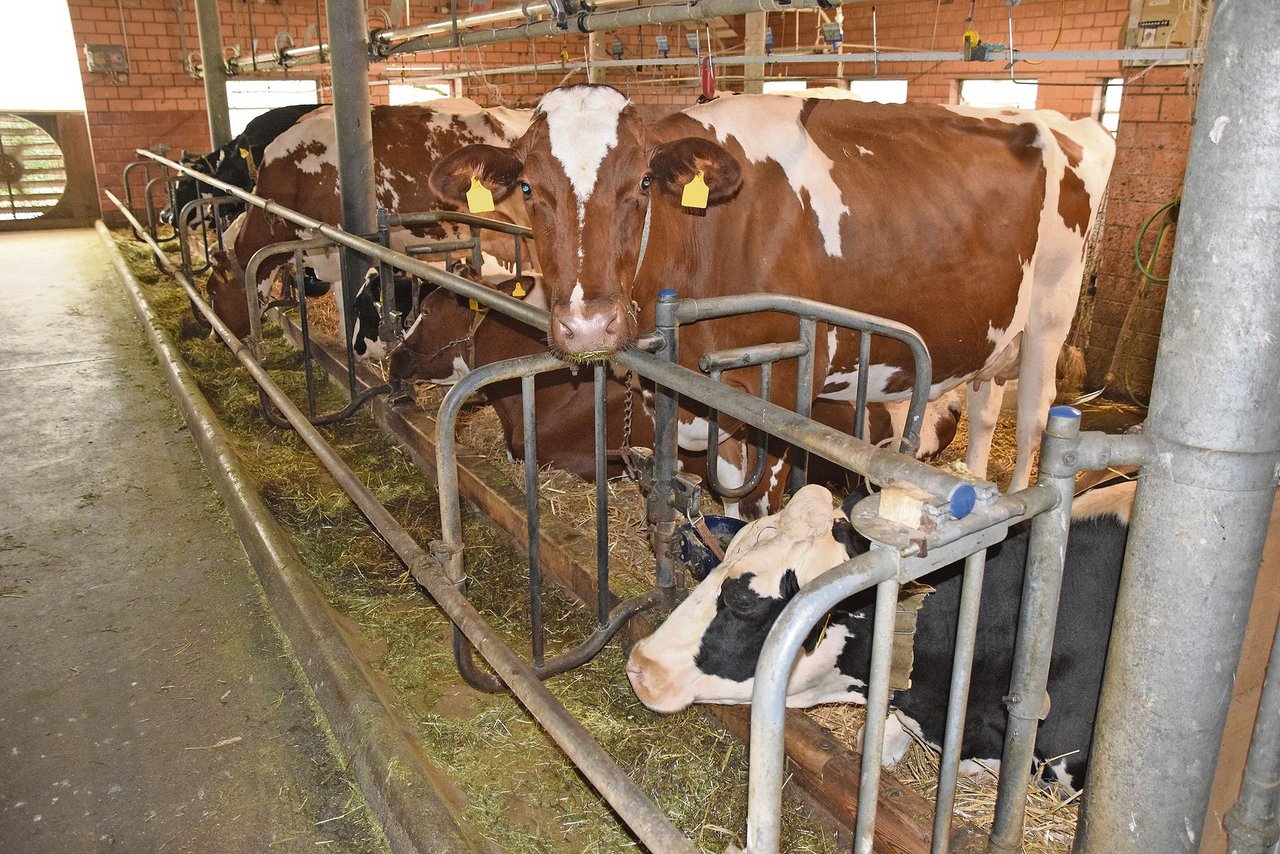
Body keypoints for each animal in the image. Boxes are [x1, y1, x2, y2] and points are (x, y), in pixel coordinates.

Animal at [430, 87, 1111, 491]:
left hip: (1051, 317)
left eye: (643, 182)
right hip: (995, 333)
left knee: (1033, 421)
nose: (588, 327)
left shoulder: (779, 388)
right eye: (527, 189)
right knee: (986, 406)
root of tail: (1061, 121)